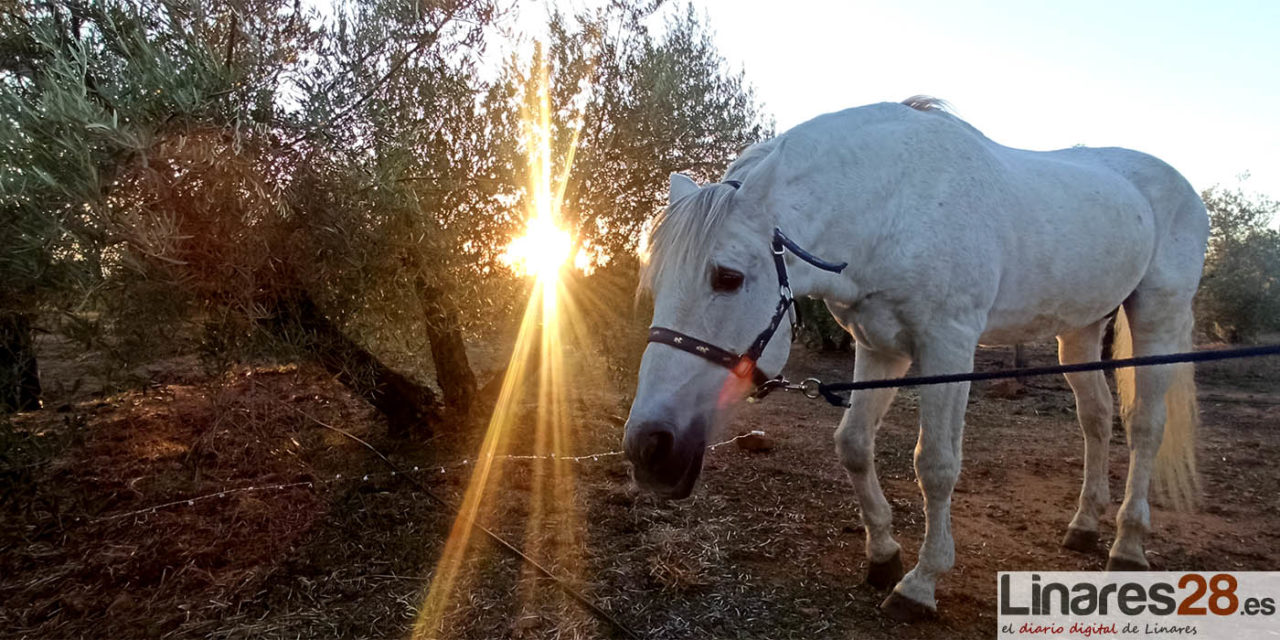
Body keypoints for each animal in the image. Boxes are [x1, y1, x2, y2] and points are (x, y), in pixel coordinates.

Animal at [624, 96, 1203, 619]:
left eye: (727, 277)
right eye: (654, 283)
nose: (648, 449)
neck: (893, 208)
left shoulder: (948, 347)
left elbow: (936, 465)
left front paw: (921, 584)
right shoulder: (879, 347)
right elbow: (854, 445)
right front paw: (883, 556)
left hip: (1158, 318)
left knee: (1145, 426)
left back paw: (1127, 544)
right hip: (1080, 331)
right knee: (1097, 418)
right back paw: (1083, 526)